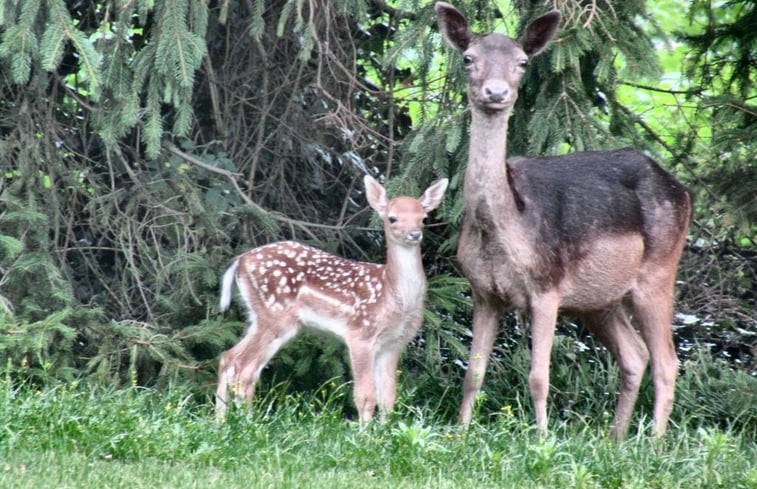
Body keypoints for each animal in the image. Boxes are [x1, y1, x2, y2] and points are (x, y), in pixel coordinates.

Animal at [216, 175, 446, 424]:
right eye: (392, 218)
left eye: (423, 218)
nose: (415, 234)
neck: (393, 295)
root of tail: (241, 260)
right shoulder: (360, 334)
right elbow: (365, 396)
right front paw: (364, 433)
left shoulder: (394, 343)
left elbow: (388, 399)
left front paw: (385, 432)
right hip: (275, 315)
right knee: (245, 368)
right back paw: (247, 422)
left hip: (259, 317)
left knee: (228, 359)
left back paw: (220, 421)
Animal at [434, 2, 692, 438]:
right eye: (468, 58)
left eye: (522, 62)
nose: (496, 93)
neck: (502, 228)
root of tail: (683, 190)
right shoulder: (483, 292)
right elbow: (473, 373)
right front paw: (460, 433)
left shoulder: (546, 287)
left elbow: (539, 375)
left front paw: (541, 438)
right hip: (599, 299)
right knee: (635, 354)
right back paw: (615, 439)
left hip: (659, 270)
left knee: (667, 361)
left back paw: (654, 442)